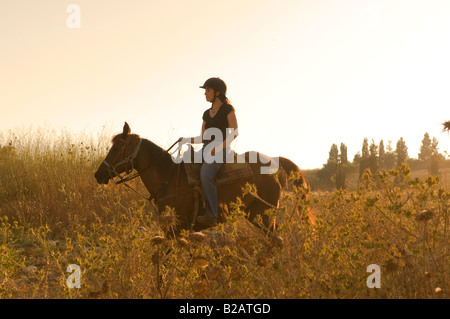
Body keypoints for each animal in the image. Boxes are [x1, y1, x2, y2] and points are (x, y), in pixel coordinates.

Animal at [95, 122, 312, 235]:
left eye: (118, 147)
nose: (98, 174)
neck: (169, 178)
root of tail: (275, 161)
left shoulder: (175, 229)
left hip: (264, 215)